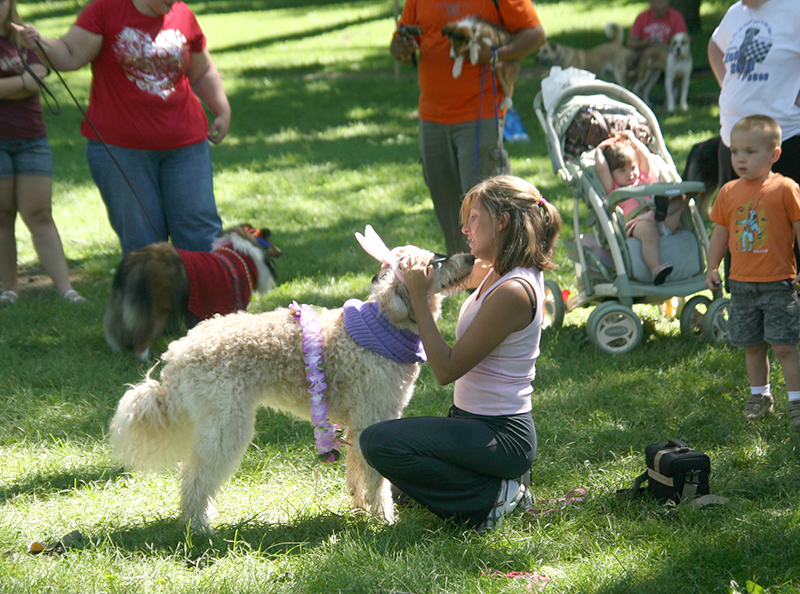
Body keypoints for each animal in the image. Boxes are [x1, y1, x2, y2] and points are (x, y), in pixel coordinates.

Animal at [104, 224, 282, 358]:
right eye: (270, 242)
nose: (280, 252)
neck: (241, 254)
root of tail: (135, 260)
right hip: (156, 307)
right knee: (142, 339)